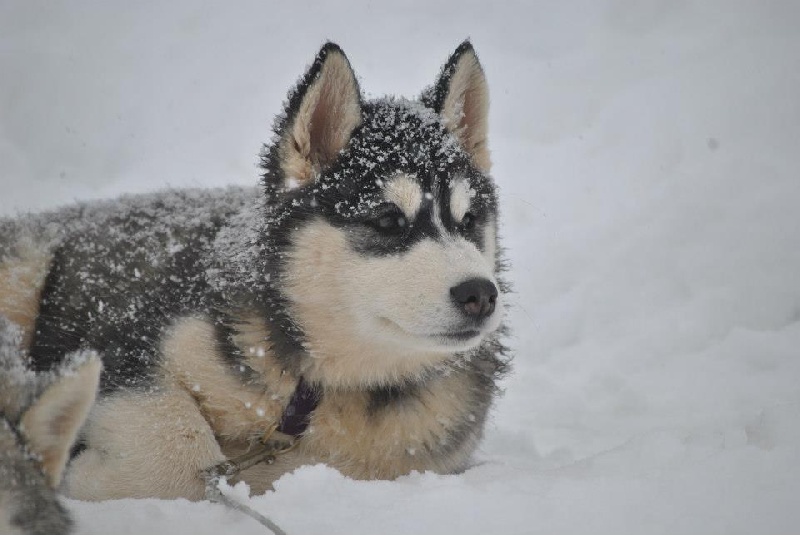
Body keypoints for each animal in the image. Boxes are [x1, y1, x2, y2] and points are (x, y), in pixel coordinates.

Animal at [0, 39, 510, 500]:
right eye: (387, 220)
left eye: (469, 219)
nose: (480, 294)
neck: (313, 389)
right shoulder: (129, 344)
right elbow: (184, 460)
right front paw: (80, 474)